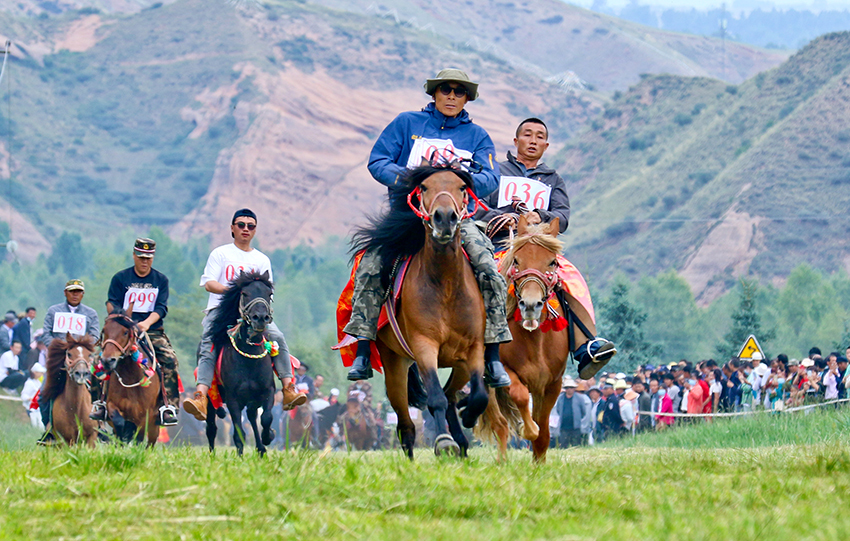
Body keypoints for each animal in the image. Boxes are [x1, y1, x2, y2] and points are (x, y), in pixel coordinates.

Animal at [100, 306, 163, 446]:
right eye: (104, 330)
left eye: (125, 332)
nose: (107, 360)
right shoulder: (112, 405)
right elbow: (119, 423)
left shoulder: (145, 413)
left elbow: (139, 436)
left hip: (154, 426)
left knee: (150, 442)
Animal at [204, 270, 274, 456]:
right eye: (244, 293)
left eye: (269, 294)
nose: (260, 318)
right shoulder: (233, 398)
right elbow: (239, 433)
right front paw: (240, 456)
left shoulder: (267, 391)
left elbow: (266, 418)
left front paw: (268, 437)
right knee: (211, 428)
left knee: (252, 417)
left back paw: (261, 448)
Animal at [350, 166, 490, 460]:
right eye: (424, 187)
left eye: (462, 187)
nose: (444, 218)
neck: (446, 284)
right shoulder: (424, 345)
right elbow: (434, 397)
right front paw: (444, 442)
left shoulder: (473, 347)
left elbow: (479, 395)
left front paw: (468, 418)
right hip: (394, 364)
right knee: (406, 424)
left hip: (458, 363)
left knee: (451, 394)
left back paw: (462, 440)